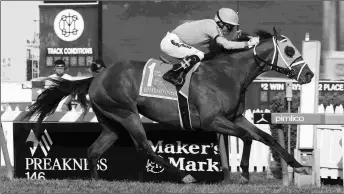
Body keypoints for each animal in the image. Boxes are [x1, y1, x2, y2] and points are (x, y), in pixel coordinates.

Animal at [22, 27, 314, 183]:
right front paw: (242, 172)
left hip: (111, 123)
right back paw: (185, 176)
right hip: (127, 114)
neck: (227, 73)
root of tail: (97, 77)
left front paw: (298, 164)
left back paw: (95, 181)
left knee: (94, 150)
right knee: (144, 147)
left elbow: (265, 137)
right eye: (289, 51)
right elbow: (247, 137)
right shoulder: (212, 121)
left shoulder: (236, 117)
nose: (309, 75)